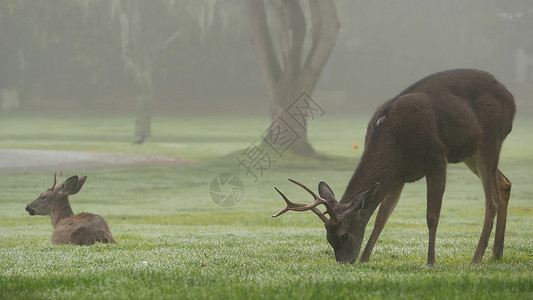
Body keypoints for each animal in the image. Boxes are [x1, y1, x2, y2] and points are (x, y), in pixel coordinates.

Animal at [272, 68, 512, 264]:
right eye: (328, 238)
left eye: (344, 235)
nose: (344, 263)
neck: (394, 142)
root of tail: (511, 99)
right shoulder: (398, 176)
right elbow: (381, 217)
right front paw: (365, 258)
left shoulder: (436, 158)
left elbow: (432, 216)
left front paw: (431, 261)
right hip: (468, 153)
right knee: (505, 183)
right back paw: (496, 253)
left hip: (489, 140)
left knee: (492, 199)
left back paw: (477, 257)